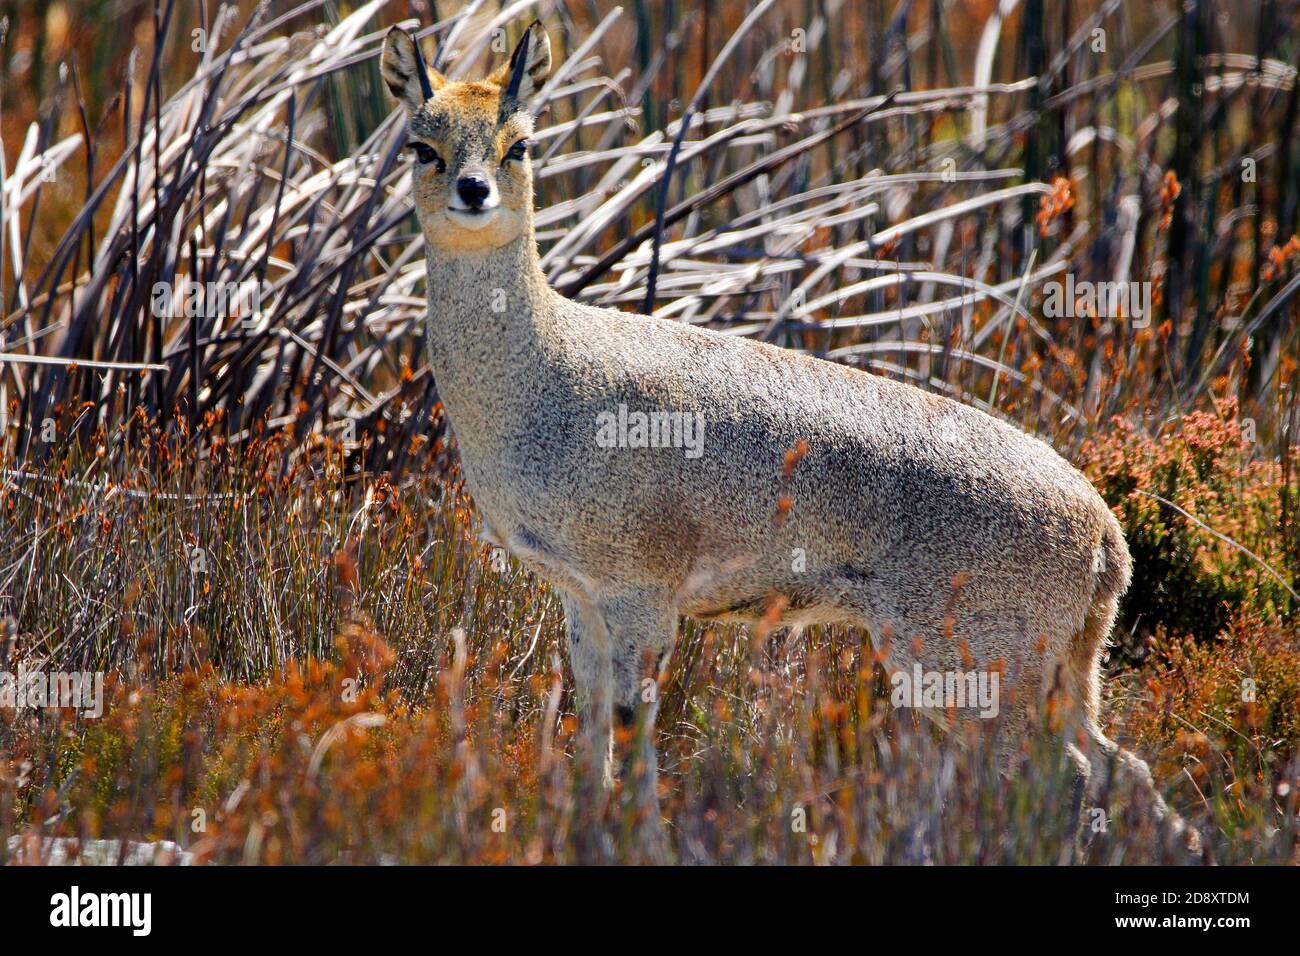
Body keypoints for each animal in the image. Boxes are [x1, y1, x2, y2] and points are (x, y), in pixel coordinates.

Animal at [379, 20, 1190, 842]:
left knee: (1068, 777)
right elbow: (593, 732)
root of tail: (1107, 535)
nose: (472, 190)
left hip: (974, 665)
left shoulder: (643, 591)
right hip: (1058, 670)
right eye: (422, 145)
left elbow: (633, 735)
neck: (544, 377)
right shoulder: (579, 595)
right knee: (1127, 773)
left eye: (520, 143)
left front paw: (644, 839)